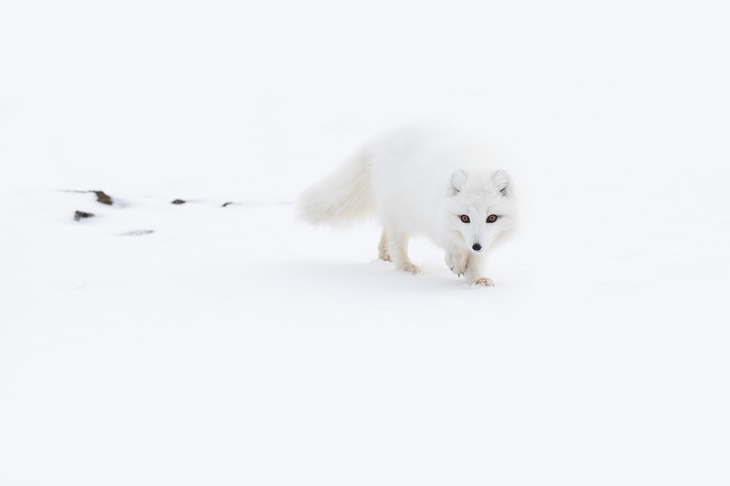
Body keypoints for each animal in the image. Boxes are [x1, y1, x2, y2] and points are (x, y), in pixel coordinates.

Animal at [298, 123, 516, 286]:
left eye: (492, 218)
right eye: (464, 218)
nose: (476, 245)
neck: (476, 165)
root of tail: (380, 140)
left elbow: (477, 261)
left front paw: (476, 279)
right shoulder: (436, 220)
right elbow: (452, 244)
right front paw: (456, 264)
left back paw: (385, 255)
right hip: (398, 212)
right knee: (396, 242)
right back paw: (405, 266)